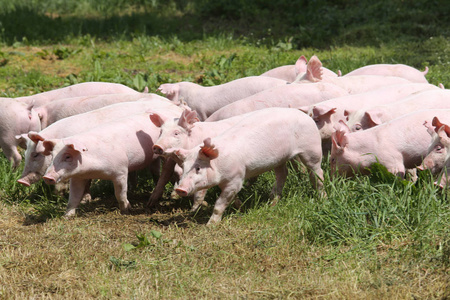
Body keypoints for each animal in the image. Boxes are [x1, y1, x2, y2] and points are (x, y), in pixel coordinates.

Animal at [40, 109, 181, 217]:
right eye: (52, 156)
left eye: (68, 156)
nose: (47, 177)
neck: (93, 171)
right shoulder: (77, 177)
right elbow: (73, 197)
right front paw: (66, 217)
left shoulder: (121, 171)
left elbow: (119, 194)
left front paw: (126, 210)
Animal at [165, 108, 324, 225]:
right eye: (184, 168)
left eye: (198, 168)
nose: (180, 189)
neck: (219, 164)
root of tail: (306, 116)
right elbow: (231, 198)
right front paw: (240, 207)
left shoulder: (236, 178)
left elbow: (219, 204)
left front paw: (210, 225)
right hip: (279, 159)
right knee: (282, 174)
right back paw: (272, 203)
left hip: (312, 148)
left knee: (317, 172)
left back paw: (322, 197)